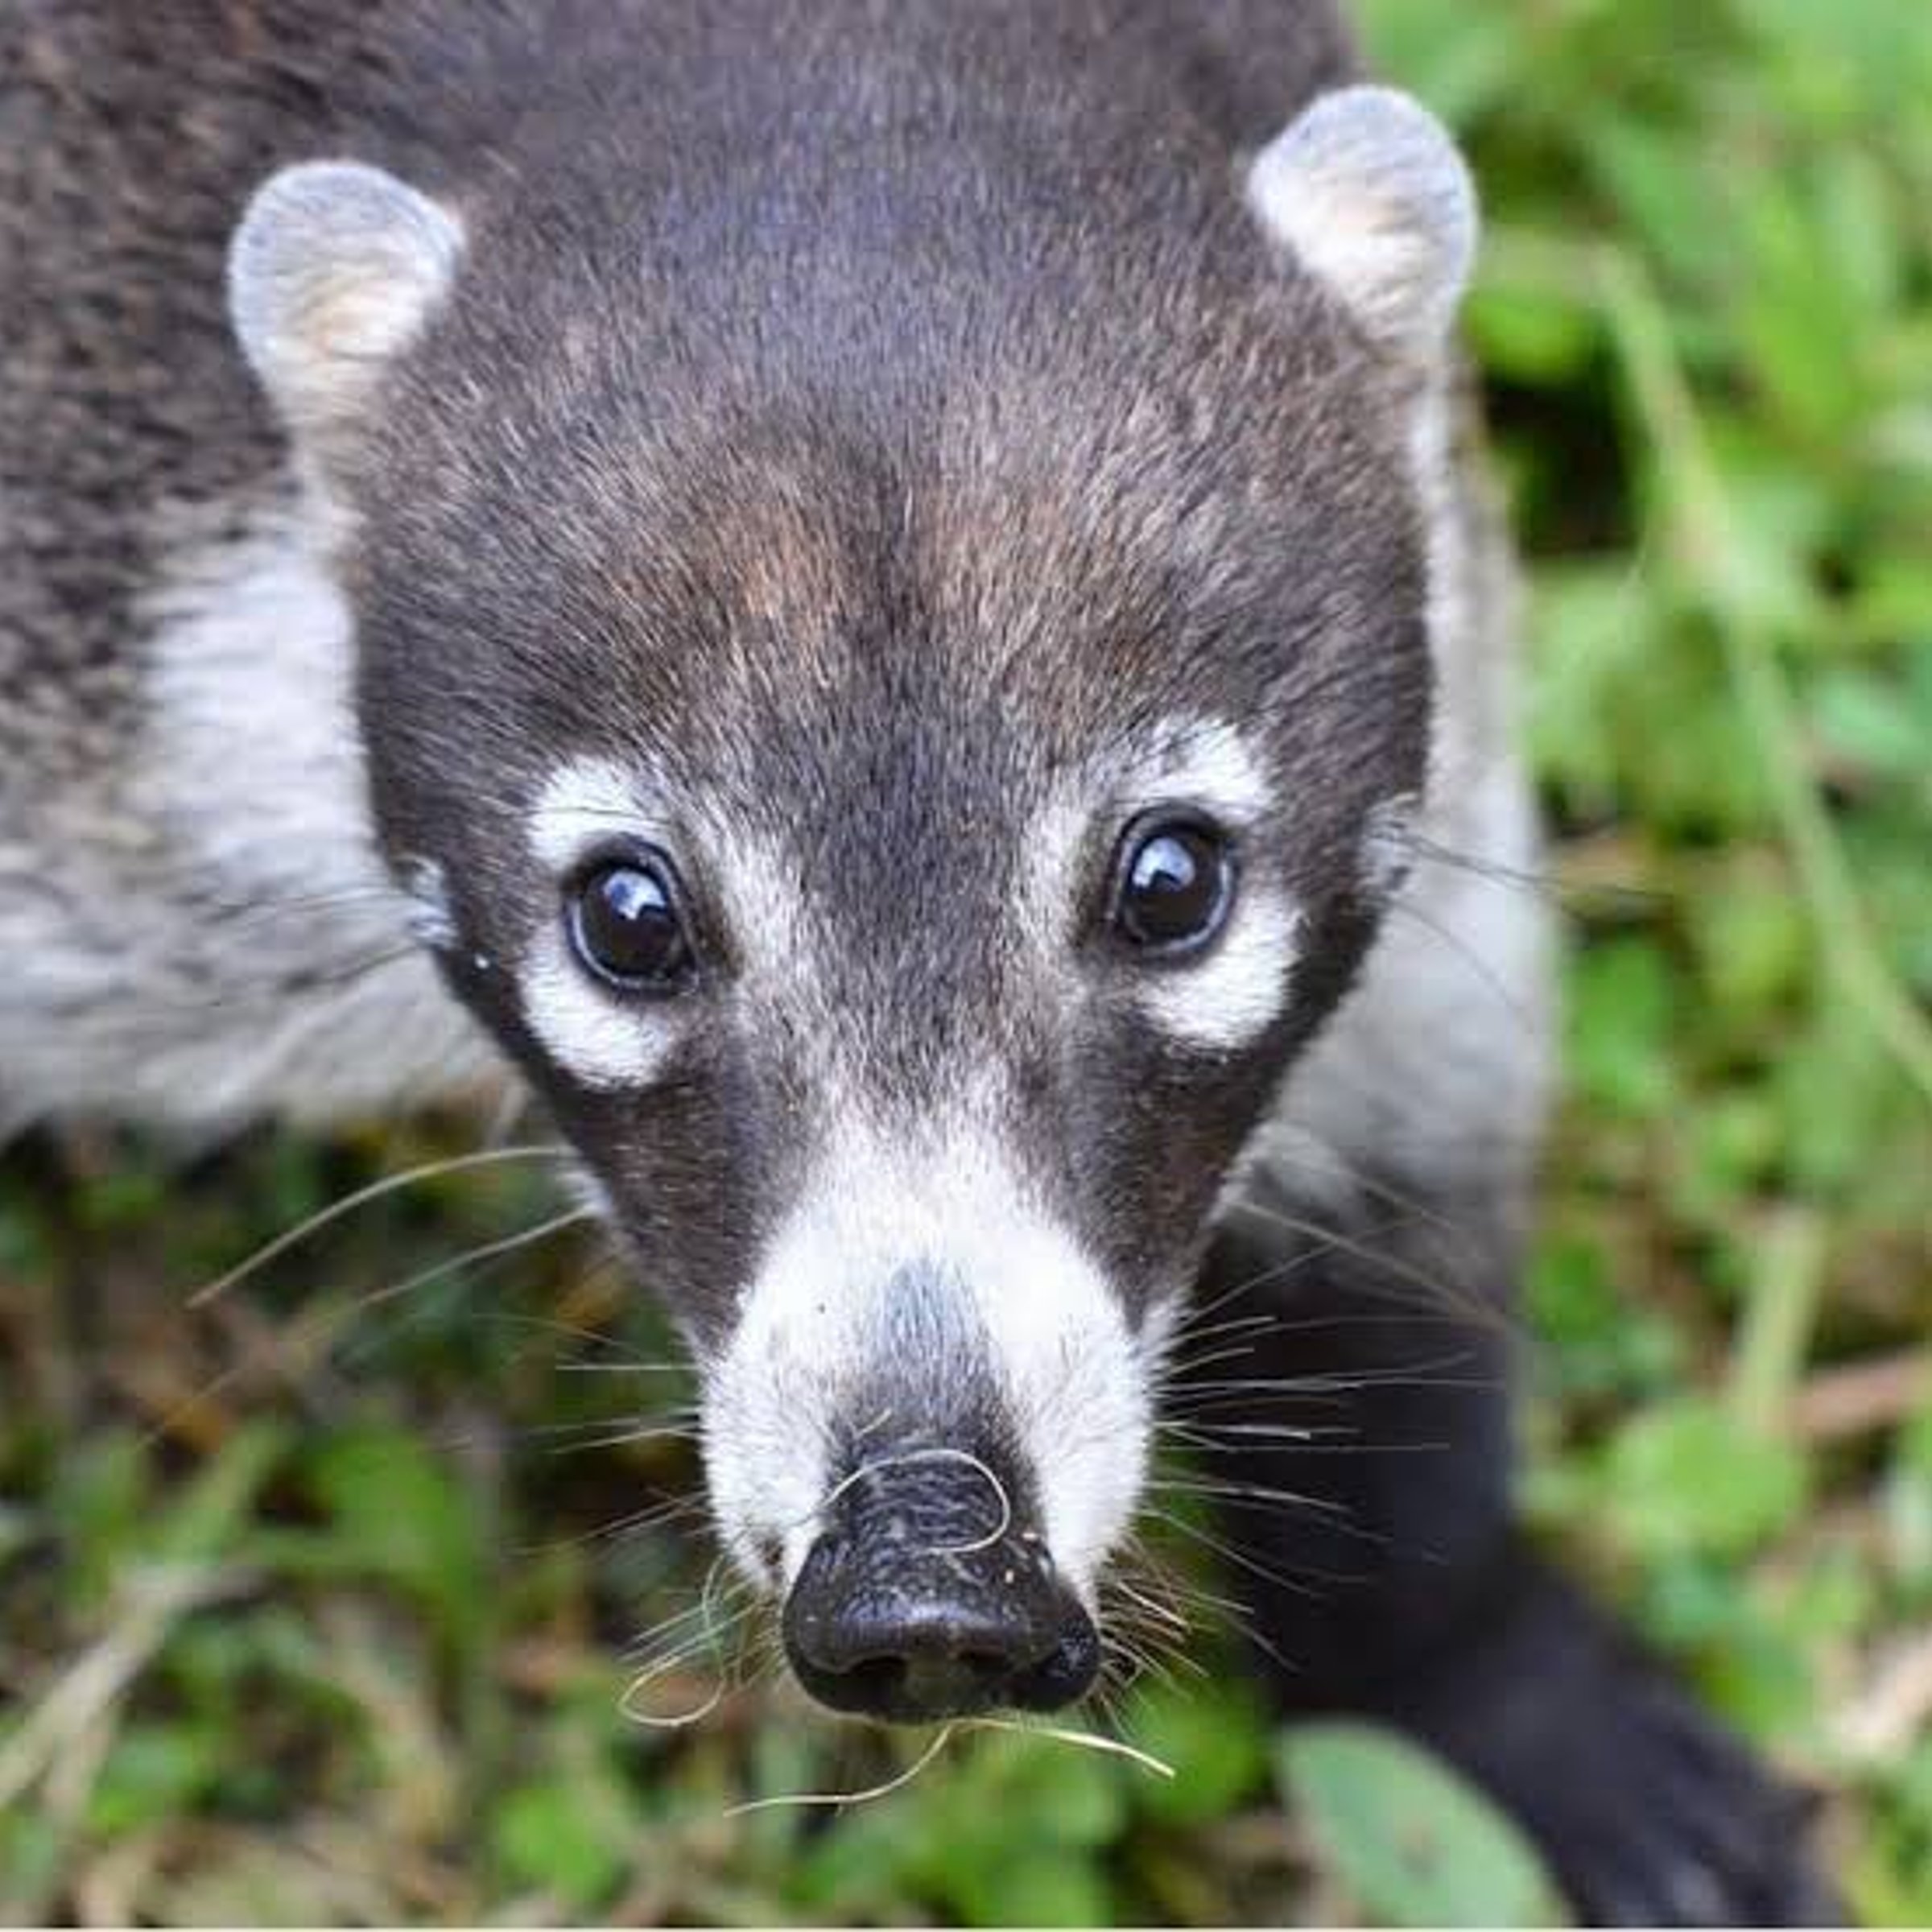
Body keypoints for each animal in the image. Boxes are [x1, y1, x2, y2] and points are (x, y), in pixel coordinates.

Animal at [1, 3, 1834, 1920]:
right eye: (626, 918)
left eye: (1172, 885)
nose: (933, 1579)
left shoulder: (1445, 622)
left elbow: (1421, 1087)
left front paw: (1464, 1642)